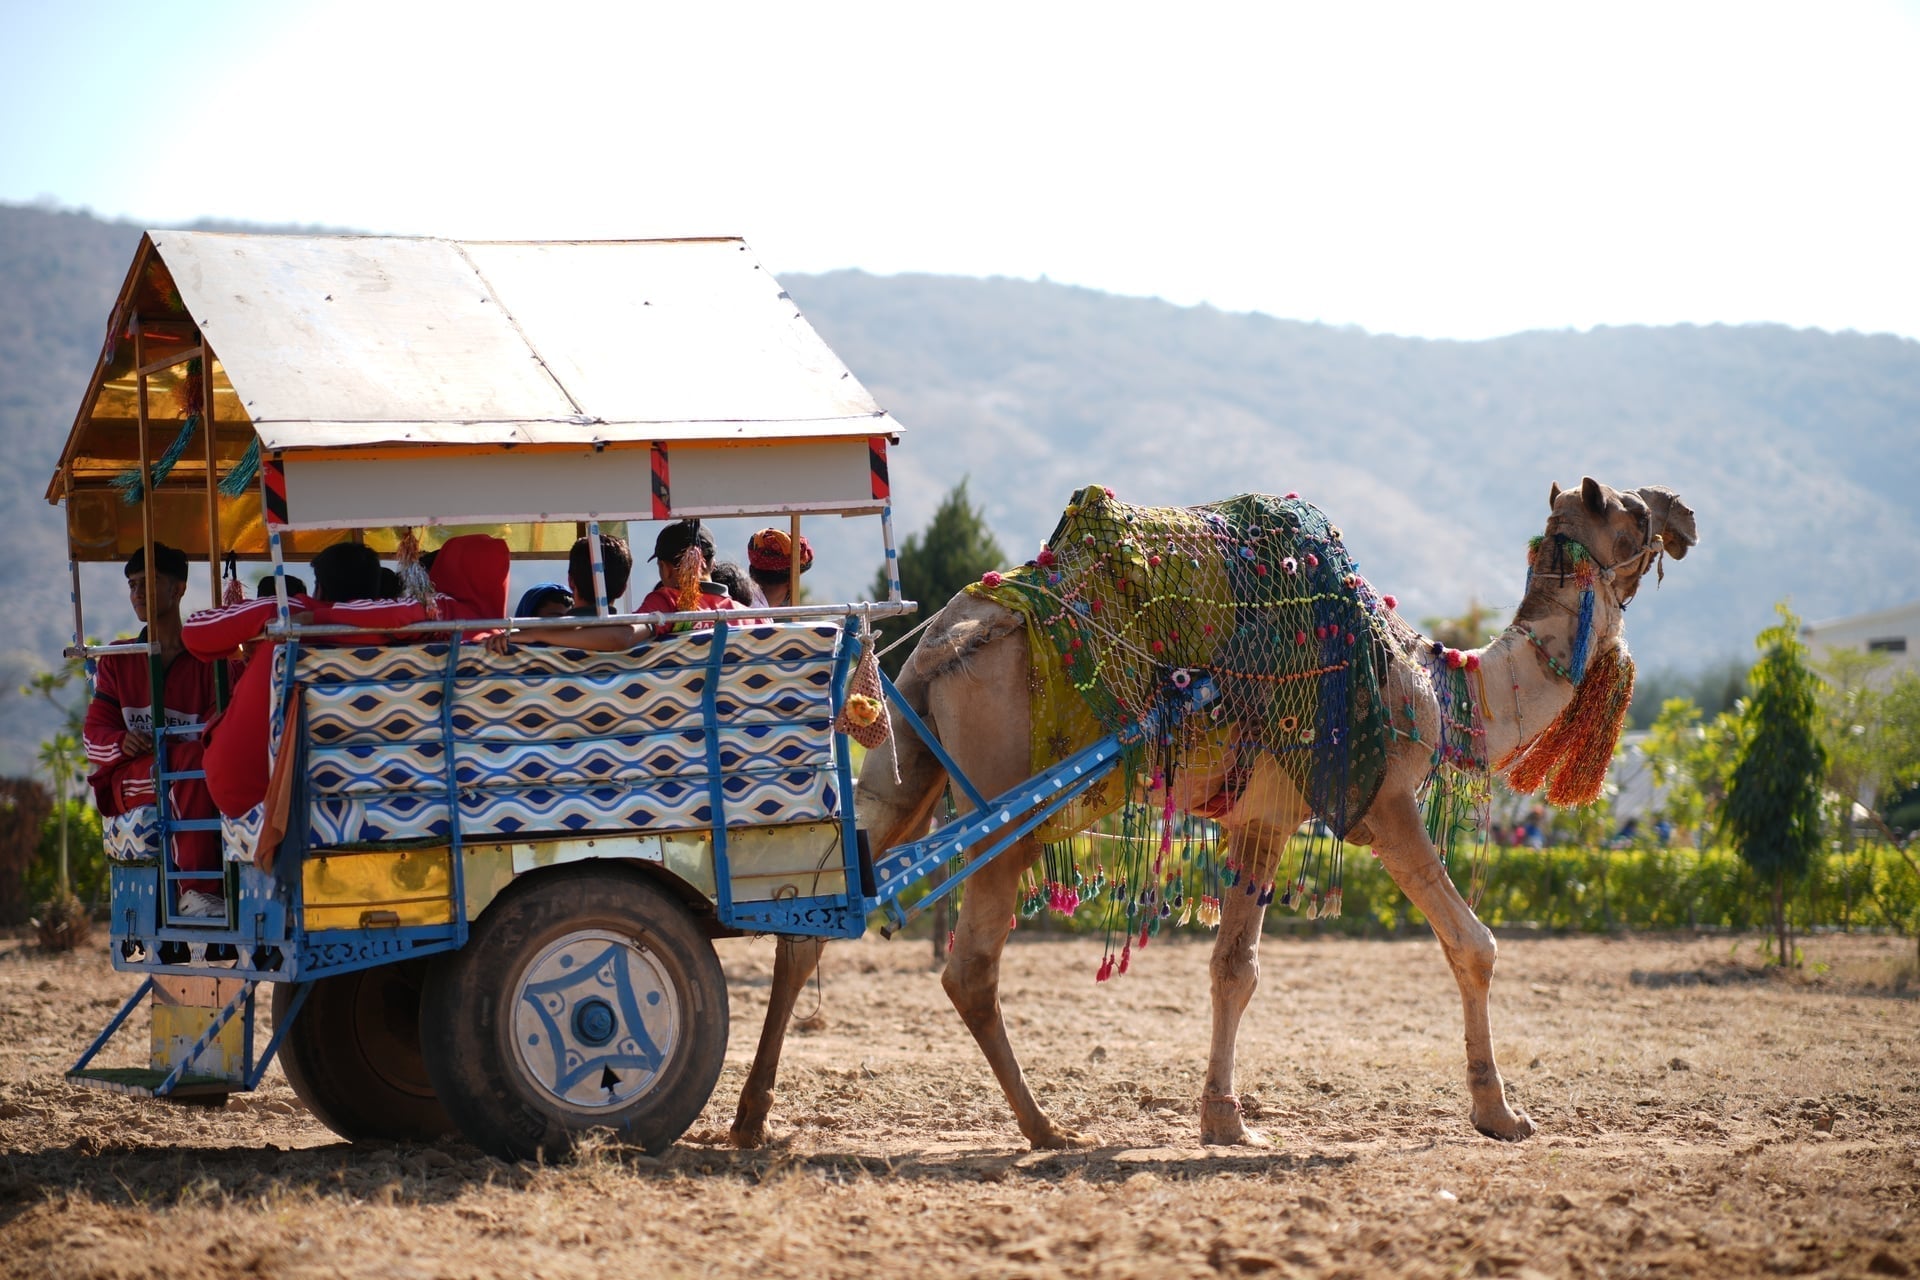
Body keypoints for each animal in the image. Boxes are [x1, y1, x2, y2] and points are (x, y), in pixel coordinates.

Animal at [731, 476, 1695, 1149]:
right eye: (1630, 509)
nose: (1684, 513)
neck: (1434, 691)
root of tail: (944, 639)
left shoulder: (1262, 818)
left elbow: (1235, 968)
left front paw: (1225, 1118)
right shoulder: (1380, 803)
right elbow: (1474, 944)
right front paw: (1501, 1114)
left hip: (905, 760)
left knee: (813, 913)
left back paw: (750, 1118)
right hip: (1006, 798)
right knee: (968, 967)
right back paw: (1046, 1129)